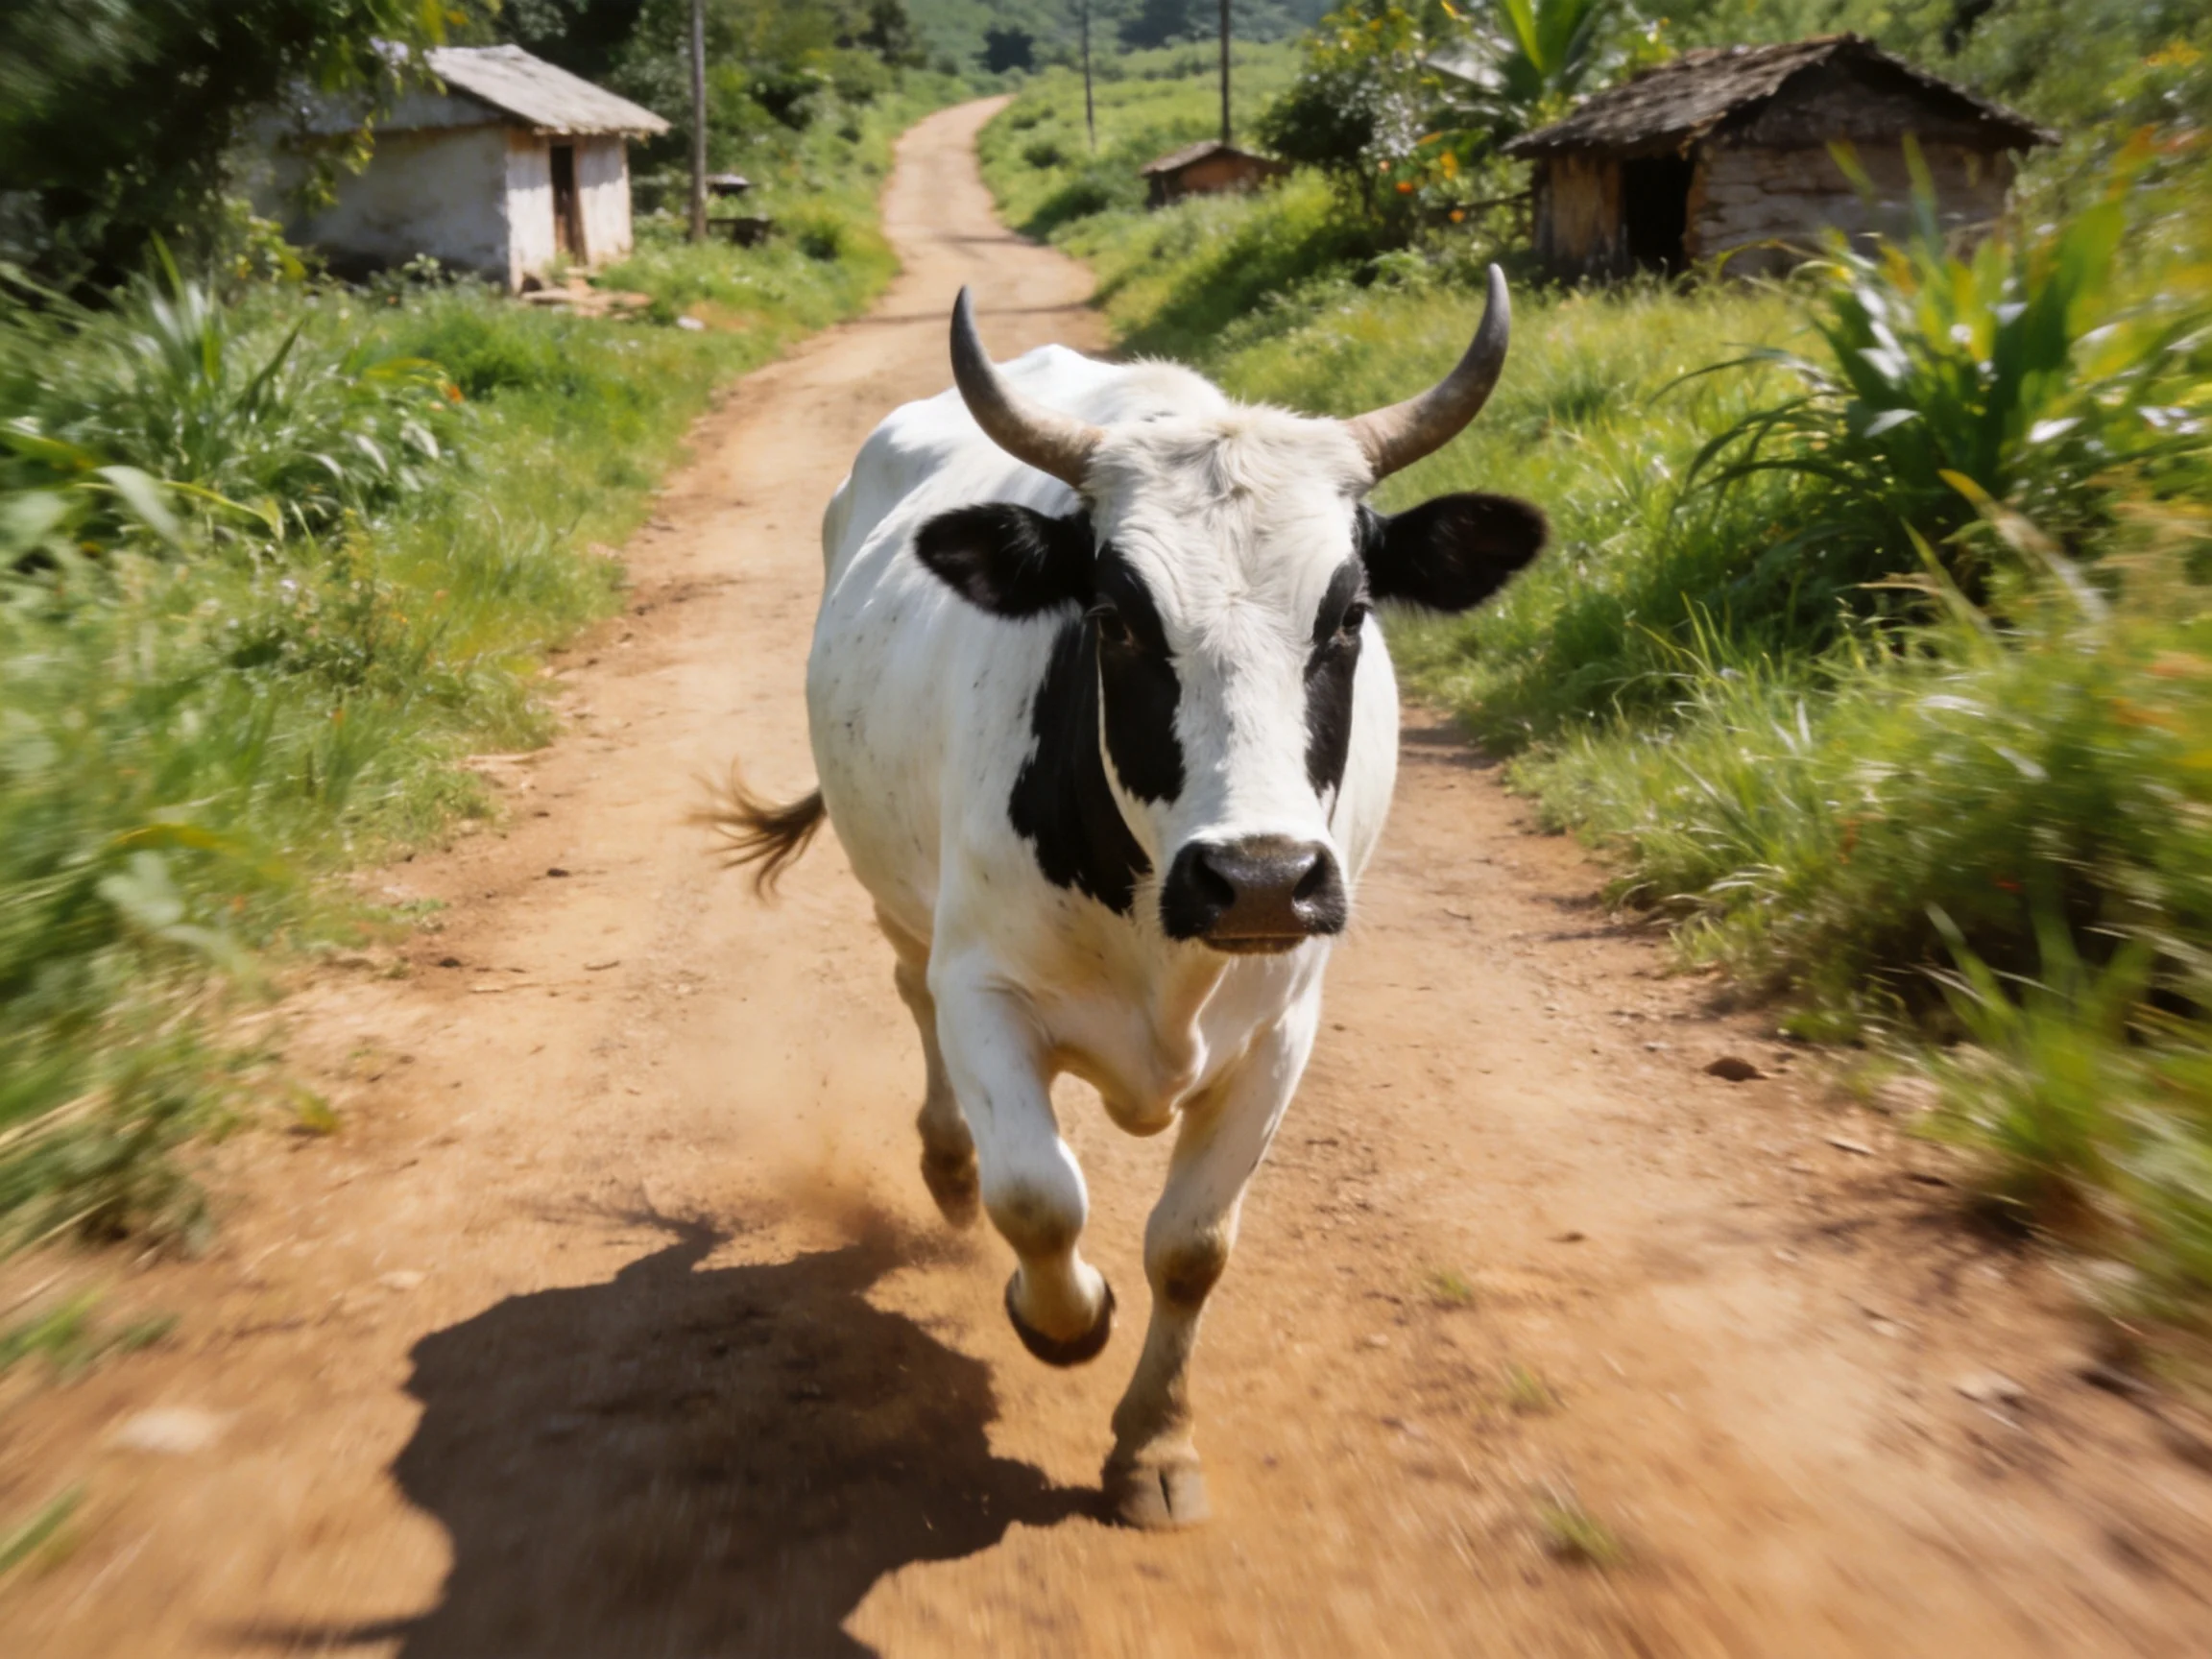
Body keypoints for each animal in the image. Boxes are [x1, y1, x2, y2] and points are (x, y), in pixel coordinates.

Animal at [715, 268, 1546, 1528]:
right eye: (1114, 618)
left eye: (1349, 615)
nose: (1259, 876)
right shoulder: (987, 990)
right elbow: (1037, 1197)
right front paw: (1063, 1317)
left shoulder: (1281, 1029)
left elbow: (1192, 1246)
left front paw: (1156, 1444)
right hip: (899, 900)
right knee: (915, 1005)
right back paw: (945, 1165)